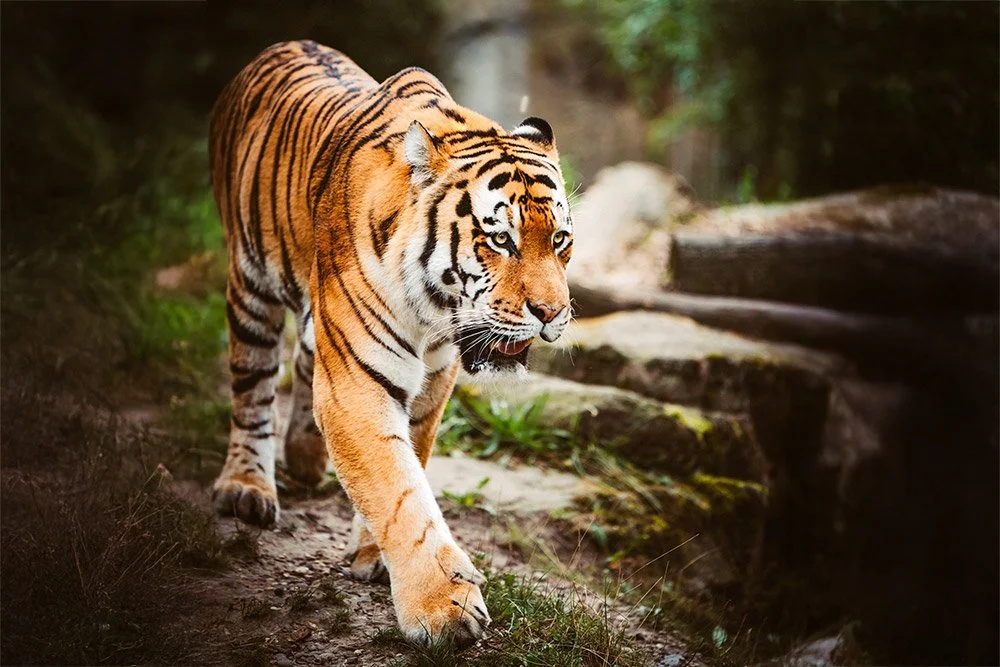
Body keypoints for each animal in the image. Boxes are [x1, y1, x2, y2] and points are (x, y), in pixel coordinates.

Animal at [207, 40, 573, 645]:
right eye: (501, 240)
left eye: (561, 239)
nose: (552, 313)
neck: (435, 309)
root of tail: (279, 45)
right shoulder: (357, 383)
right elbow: (399, 490)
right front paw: (443, 609)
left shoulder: (433, 379)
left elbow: (410, 466)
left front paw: (373, 555)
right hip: (249, 285)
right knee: (252, 388)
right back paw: (246, 488)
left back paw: (304, 457)